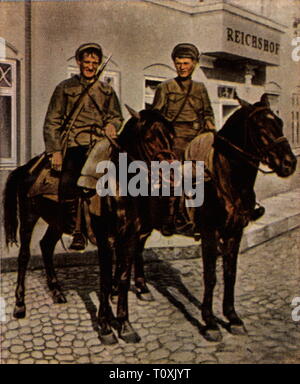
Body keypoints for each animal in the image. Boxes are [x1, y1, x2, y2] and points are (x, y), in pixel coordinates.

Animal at [2, 109, 176, 344]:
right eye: (150, 138)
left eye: (172, 136)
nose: (172, 173)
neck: (121, 188)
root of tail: (26, 167)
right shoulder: (106, 241)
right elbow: (105, 280)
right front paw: (105, 326)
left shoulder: (129, 239)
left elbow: (122, 278)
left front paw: (125, 325)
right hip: (29, 217)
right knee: (24, 256)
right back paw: (20, 305)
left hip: (57, 221)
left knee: (46, 246)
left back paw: (57, 292)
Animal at [132, 94, 298, 342]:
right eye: (260, 127)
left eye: (279, 122)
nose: (289, 163)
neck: (226, 180)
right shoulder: (209, 233)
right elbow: (210, 276)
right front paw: (210, 322)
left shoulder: (235, 233)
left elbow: (230, 274)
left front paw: (233, 317)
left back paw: (142, 287)